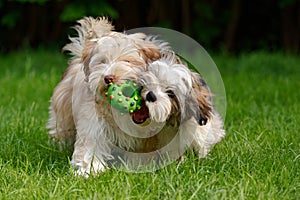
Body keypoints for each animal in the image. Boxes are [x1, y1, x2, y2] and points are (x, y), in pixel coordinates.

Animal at [47, 17, 225, 177]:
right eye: (102, 62)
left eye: (127, 60)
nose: (108, 78)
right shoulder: (93, 120)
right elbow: (92, 142)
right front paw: (89, 170)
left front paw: (139, 166)